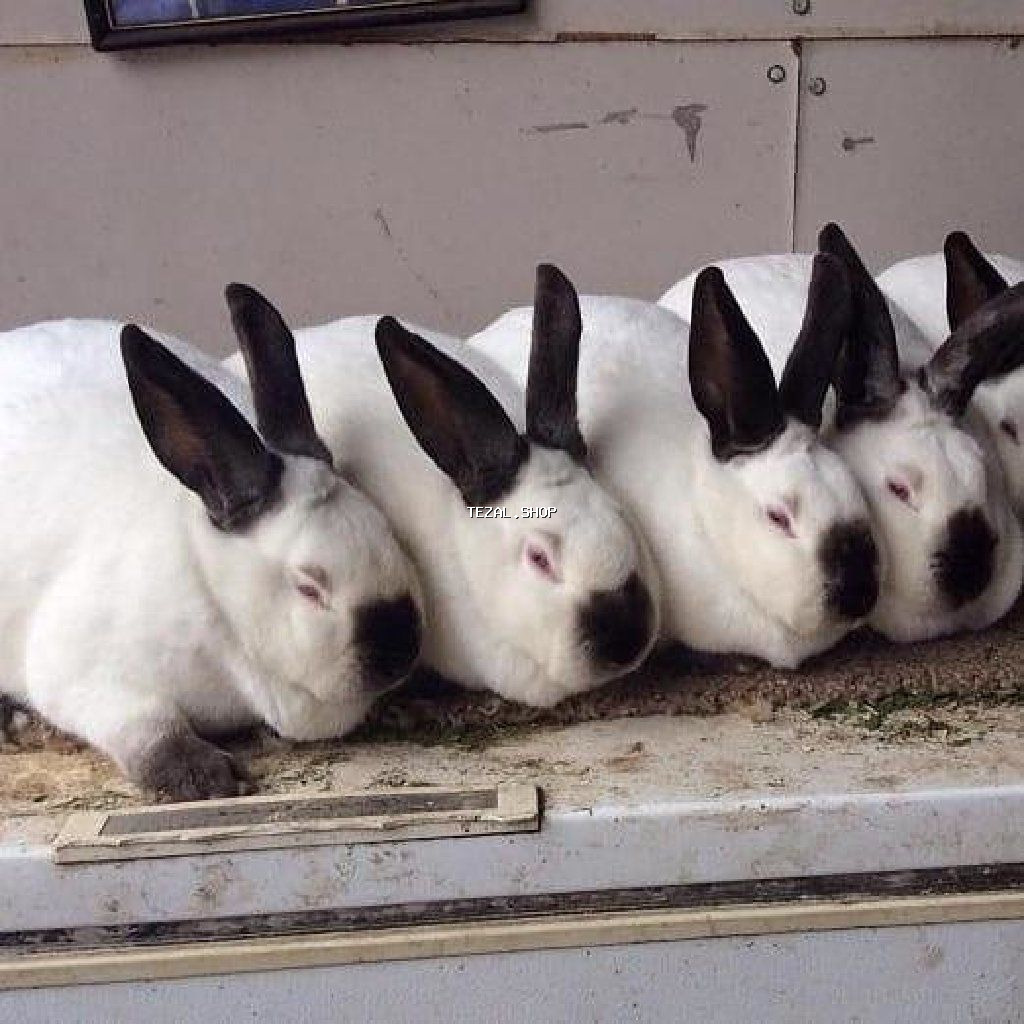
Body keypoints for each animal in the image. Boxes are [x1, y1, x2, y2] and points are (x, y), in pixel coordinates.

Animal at [0, 288, 423, 801]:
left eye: (388, 532)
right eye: (309, 587)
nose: (402, 647)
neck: (214, 597)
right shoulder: (88, 673)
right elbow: (149, 725)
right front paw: (206, 777)